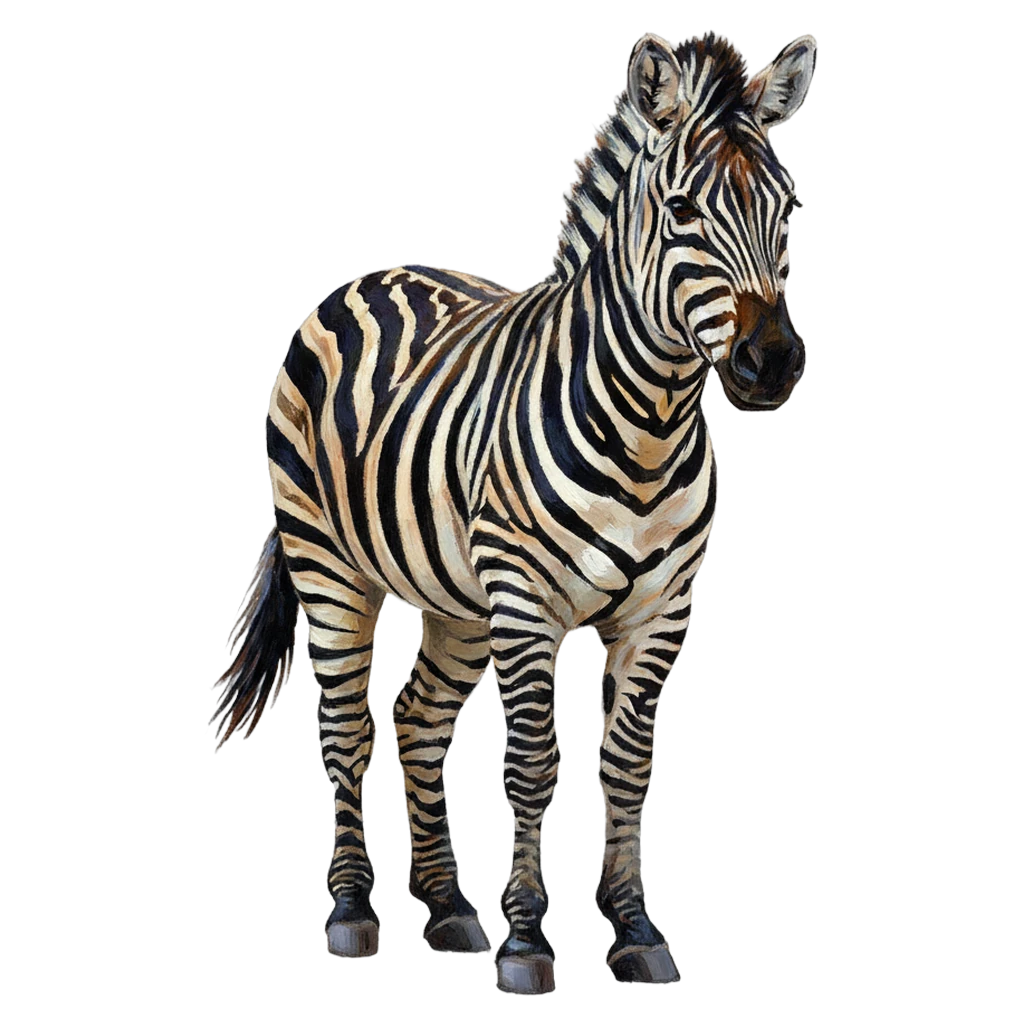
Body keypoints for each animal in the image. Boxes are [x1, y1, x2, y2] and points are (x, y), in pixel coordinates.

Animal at [211, 29, 815, 994]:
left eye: (785, 204)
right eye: (682, 208)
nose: (773, 361)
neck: (648, 422)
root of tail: (365, 276)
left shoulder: (660, 610)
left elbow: (626, 767)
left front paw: (633, 929)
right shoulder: (528, 602)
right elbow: (531, 767)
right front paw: (531, 944)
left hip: (458, 599)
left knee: (419, 719)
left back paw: (449, 912)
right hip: (330, 567)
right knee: (344, 725)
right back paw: (352, 914)